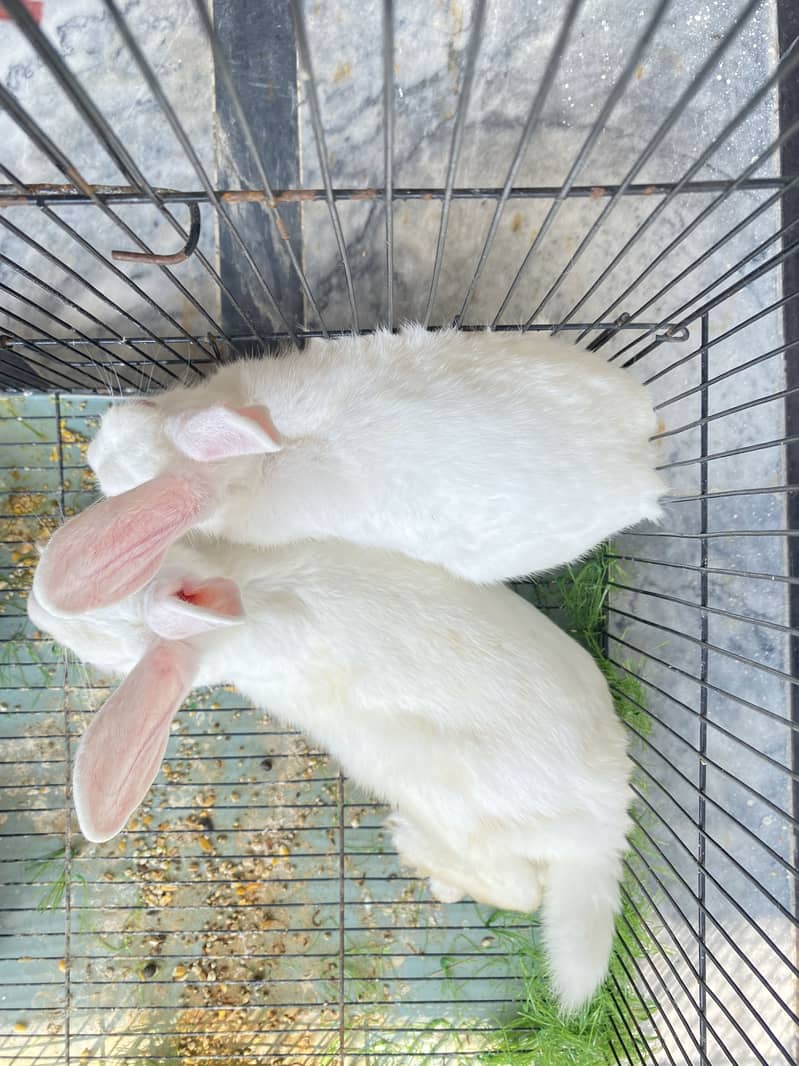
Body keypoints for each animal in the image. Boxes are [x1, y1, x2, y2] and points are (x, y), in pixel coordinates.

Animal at [29, 531, 633, 1014]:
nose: (34, 609)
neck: (247, 599)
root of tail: (607, 824)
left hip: (443, 797)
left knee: (523, 889)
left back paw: (414, 847)